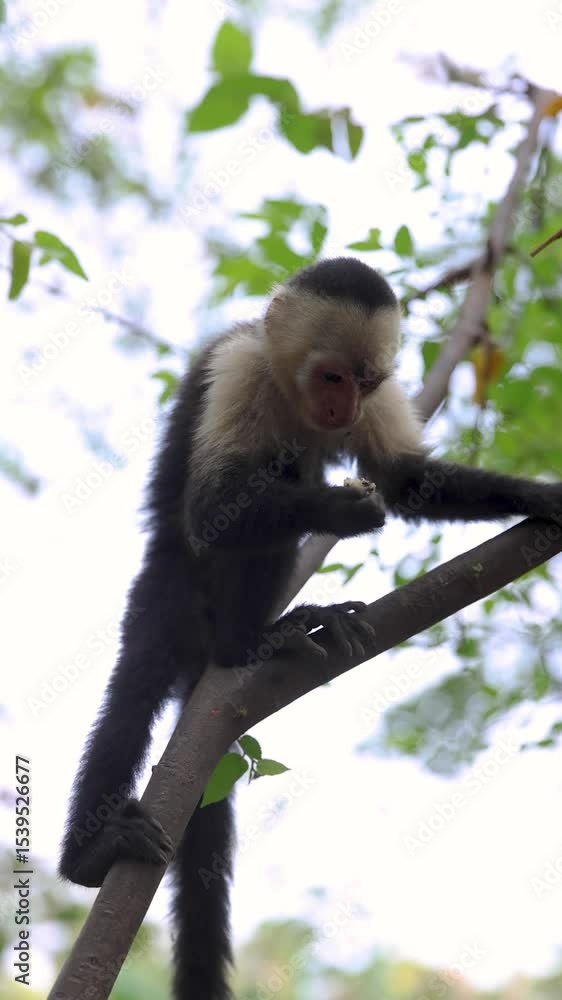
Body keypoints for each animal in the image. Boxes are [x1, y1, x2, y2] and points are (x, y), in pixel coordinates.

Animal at [59, 257, 562, 1000]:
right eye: (331, 378)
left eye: (366, 382)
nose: (344, 411)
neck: (292, 392)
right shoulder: (239, 368)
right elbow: (214, 508)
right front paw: (342, 510)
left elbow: (407, 480)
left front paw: (541, 497)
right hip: (166, 591)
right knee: (139, 678)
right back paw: (94, 848)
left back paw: (270, 634)